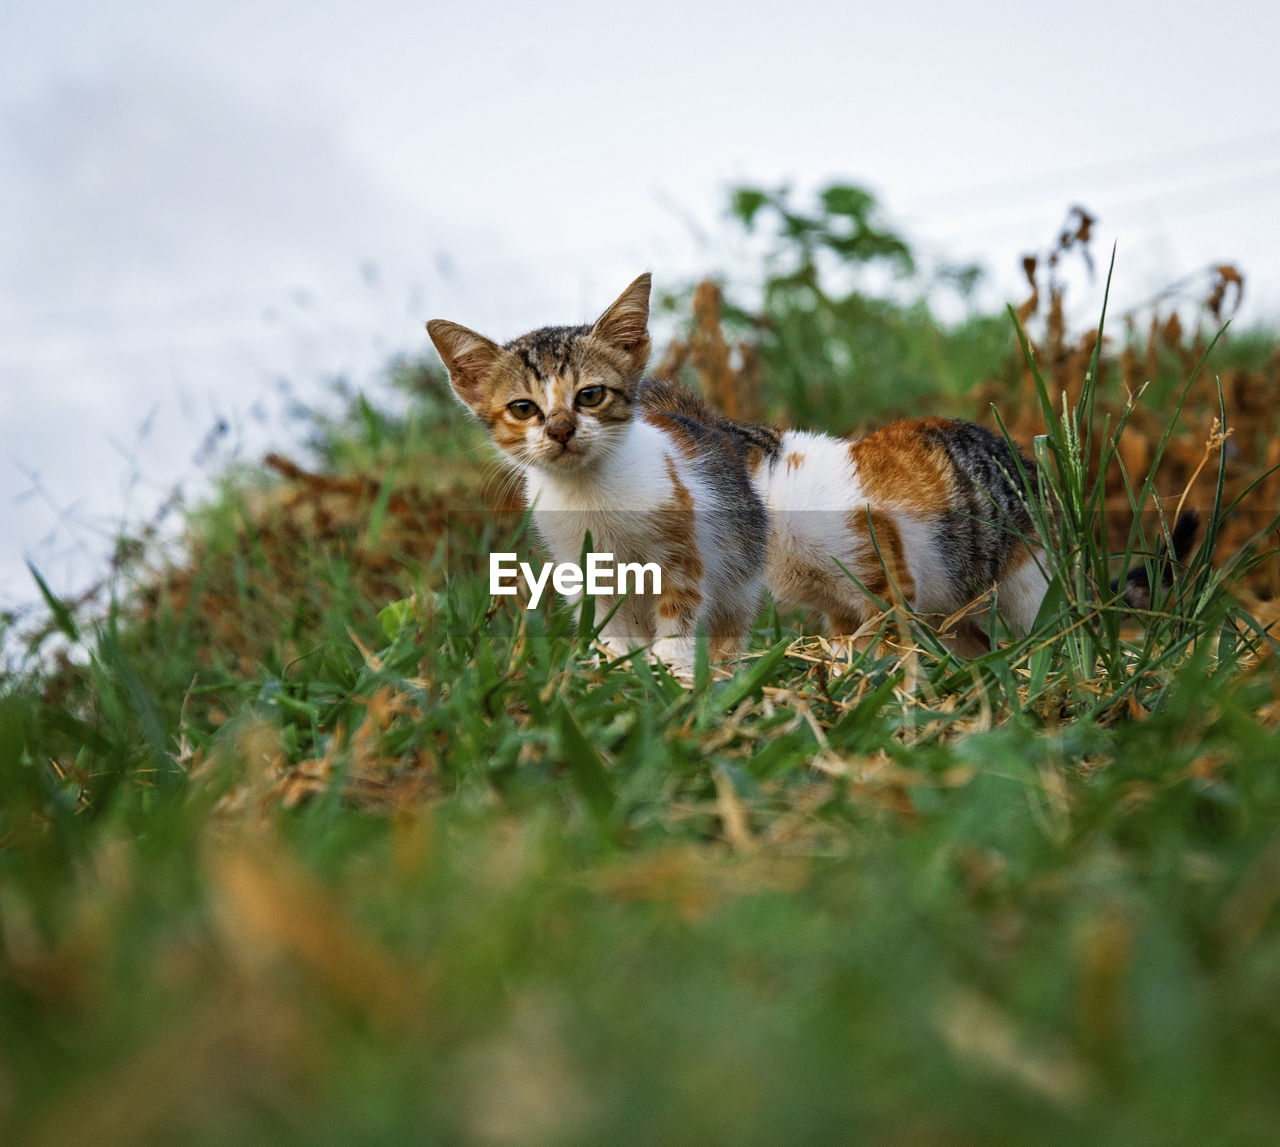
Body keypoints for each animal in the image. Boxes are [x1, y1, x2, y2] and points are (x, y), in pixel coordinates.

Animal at [430, 273, 768, 670]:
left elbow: (680, 608)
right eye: (523, 408)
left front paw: (672, 666)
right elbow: (604, 622)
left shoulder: (683, 548)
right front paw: (615, 665)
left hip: (740, 559)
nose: (560, 430)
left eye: (590, 395)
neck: (588, 491)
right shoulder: (578, 563)